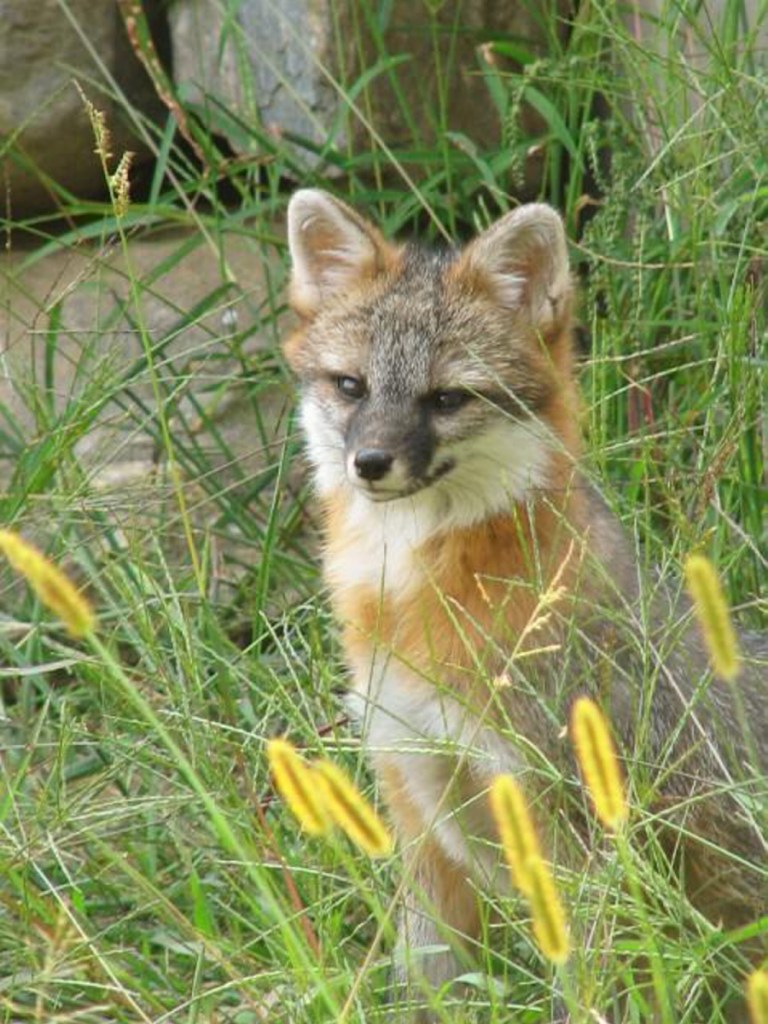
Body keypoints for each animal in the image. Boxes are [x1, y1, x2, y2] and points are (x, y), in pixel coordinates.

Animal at [284, 190, 768, 1015]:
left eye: (446, 399)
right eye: (351, 386)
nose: (370, 463)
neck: (411, 606)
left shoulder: (570, 830)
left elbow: (591, 989)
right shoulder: (416, 802)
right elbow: (427, 981)